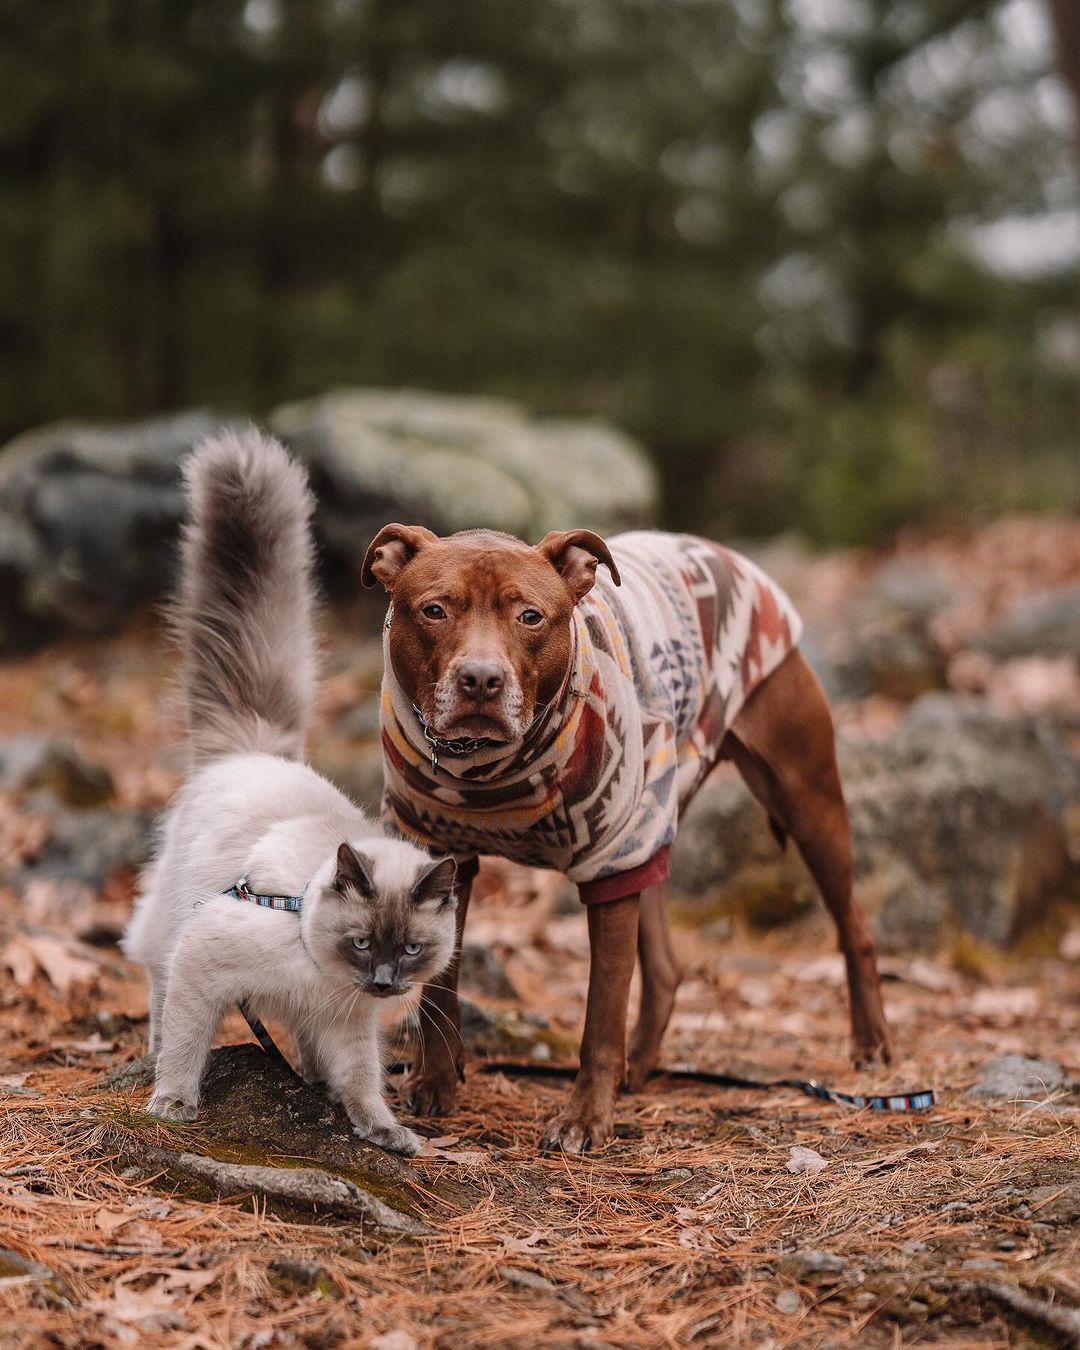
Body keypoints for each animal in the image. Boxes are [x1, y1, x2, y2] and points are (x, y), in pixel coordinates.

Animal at [361, 523, 896, 1150]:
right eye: (435, 610)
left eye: (531, 617)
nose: (481, 680)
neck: (492, 772)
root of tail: (725, 554)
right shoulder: (439, 850)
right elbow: (442, 985)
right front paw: (436, 1082)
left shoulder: (612, 861)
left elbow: (603, 1010)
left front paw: (586, 1118)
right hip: (656, 819)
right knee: (663, 965)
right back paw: (636, 1068)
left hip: (805, 801)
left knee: (854, 927)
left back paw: (871, 1042)